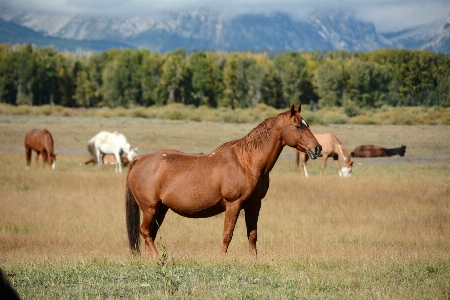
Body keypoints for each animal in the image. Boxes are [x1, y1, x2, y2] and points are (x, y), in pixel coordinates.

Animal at [125, 103, 322, 258]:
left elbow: (252, 235)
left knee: (150, 233)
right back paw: (158, 258)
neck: (246, 162)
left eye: (307, 124)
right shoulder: (233, 204)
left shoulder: (254, 205)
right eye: (297, 126)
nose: (317, 148)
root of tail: (140, 159)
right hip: (150, 208)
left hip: (161, 209)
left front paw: (254, 260)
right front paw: (221, 258)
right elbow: (227, 234)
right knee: (145, 232)